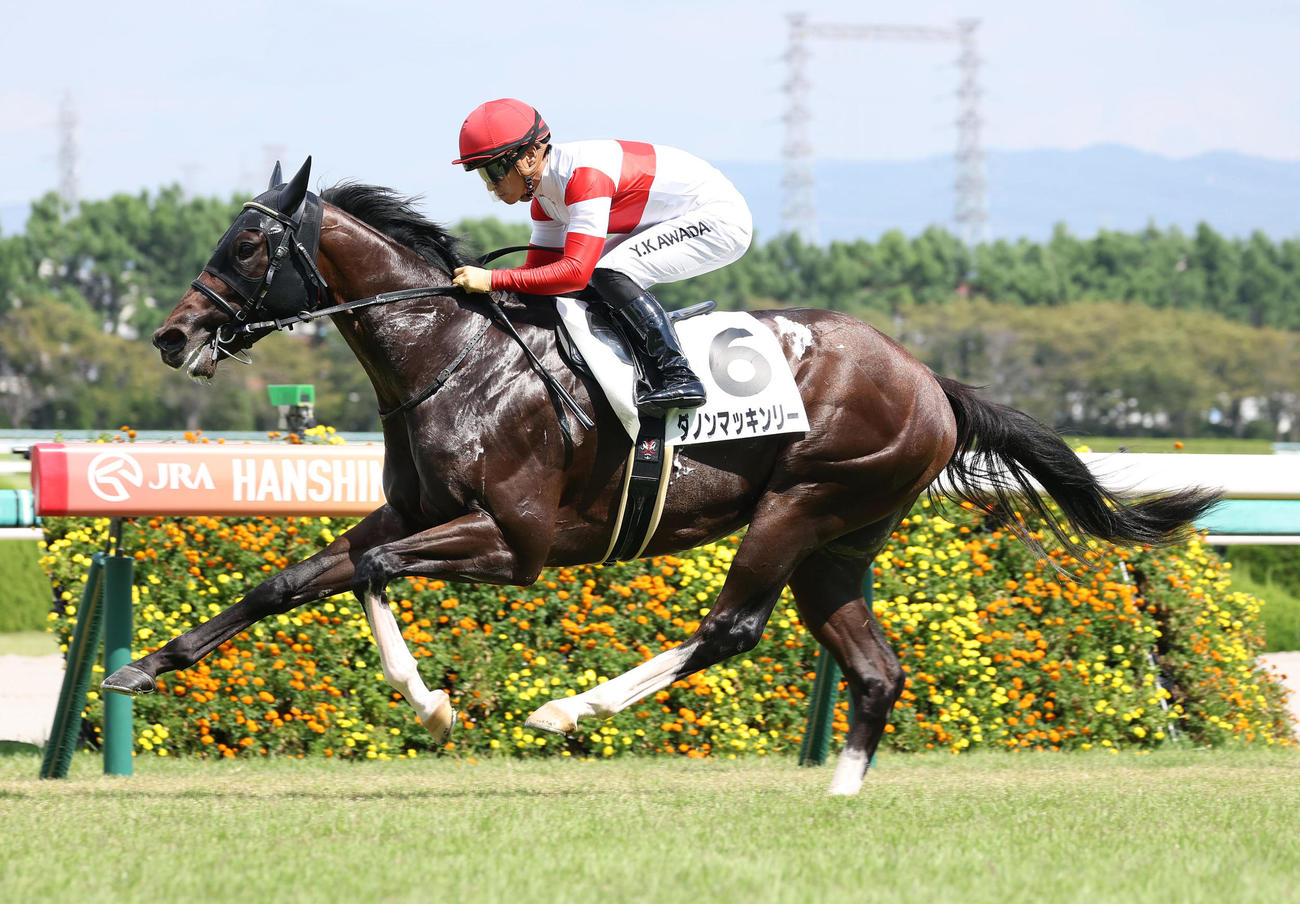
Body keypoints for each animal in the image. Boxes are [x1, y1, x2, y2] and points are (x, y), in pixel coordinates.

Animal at [104, 158, 1219, 795]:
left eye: (250, 244)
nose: (171, 335)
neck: (454, 357)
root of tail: (927, 378)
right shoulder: (409, 511)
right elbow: (290, 580)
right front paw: (140, 668)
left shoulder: (514, 543)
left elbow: (374, 573)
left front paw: (431, 704)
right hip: (841, 542)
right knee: (874, 669)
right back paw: (839, 800)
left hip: (802, 503)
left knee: (732, 627)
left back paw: (569, 711)